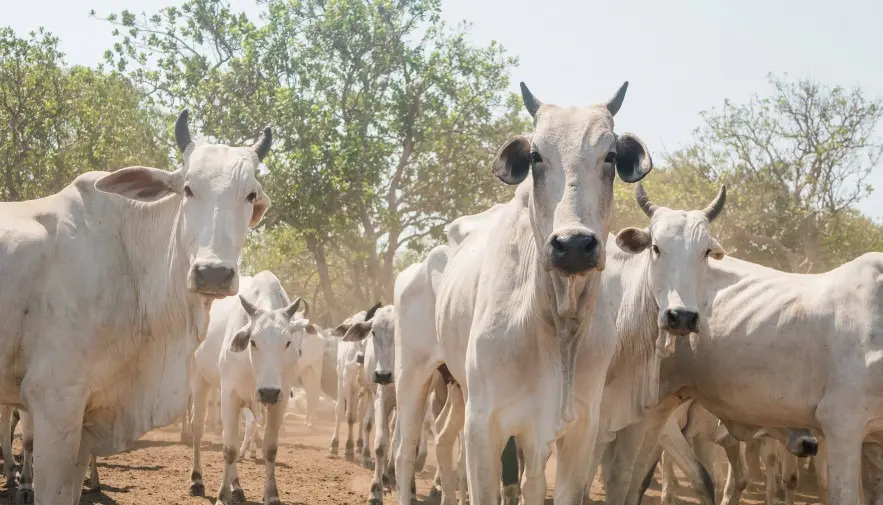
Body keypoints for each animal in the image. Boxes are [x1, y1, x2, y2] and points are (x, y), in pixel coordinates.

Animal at [390, 81, 652, 504]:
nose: (573, 244)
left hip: (457, 387)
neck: (556, 323)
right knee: (405, 449)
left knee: (446, 440)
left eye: (610, 156)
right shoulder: (484, 426)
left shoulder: (579, 430)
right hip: (412, 371)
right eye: (535, 156)